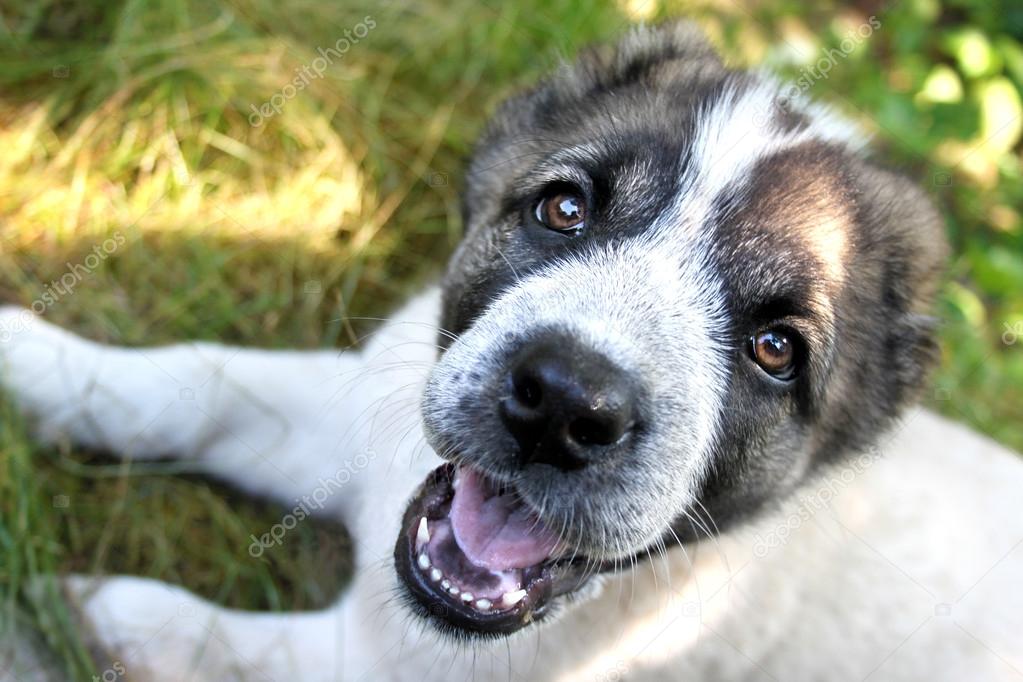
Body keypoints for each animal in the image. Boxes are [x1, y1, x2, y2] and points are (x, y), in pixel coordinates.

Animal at [1, 22, 1023, 682]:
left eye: (775, 349)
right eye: (563, 207)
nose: (565, 404)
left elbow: (236, 648)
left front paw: (112, 618)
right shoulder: (357, 411)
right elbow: (197, 383)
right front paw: (33, 360)